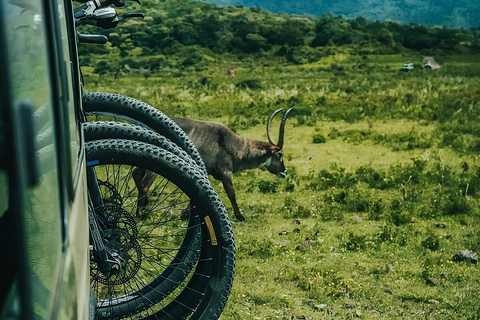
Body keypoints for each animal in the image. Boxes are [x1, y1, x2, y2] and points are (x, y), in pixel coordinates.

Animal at [133, 107, 294, 220]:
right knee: (145, 184)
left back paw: (142, 209)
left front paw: (185, 215)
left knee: (136, 176)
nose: (284, 172)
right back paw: (142, 214)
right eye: (280, 154)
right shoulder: (225, 172)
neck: (234, 144)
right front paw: (240, 216)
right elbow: (231, 193)